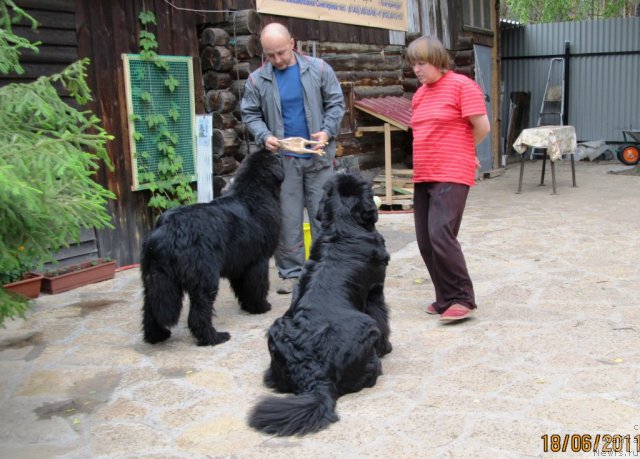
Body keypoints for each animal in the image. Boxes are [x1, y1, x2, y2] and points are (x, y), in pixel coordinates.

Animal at [141, 149, 284, 346]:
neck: (255, 193)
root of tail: (167, 229)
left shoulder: (240, 264)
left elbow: (244, 288)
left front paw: (249, 306)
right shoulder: (257, 261)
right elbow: (257, 286)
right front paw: (260, 307)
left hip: (154, 279)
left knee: (150, 310)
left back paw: (157, 336)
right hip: (205, 277)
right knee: (199, 313)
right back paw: (214, 337)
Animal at [249, 173, 390, 438]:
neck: (342, 226)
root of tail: (314, 373)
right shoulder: (375, 291)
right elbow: (383, 319)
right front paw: (387, 348)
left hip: (275, 330)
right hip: (367, 328)